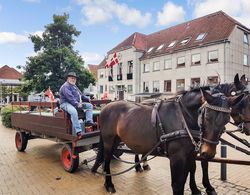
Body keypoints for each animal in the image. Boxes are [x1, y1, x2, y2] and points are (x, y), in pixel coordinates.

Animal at [91, 87, 243, 194]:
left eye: (226, 120)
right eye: (206, 116)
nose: (208, 153)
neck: (183, 117)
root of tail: (106, 107)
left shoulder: (190, 154)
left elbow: (190, 172)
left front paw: (196, 189)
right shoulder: (177, 157)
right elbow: (177, 184)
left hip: (117, 140)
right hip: (109, 140)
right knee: (107, 159)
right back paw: (109, 184)